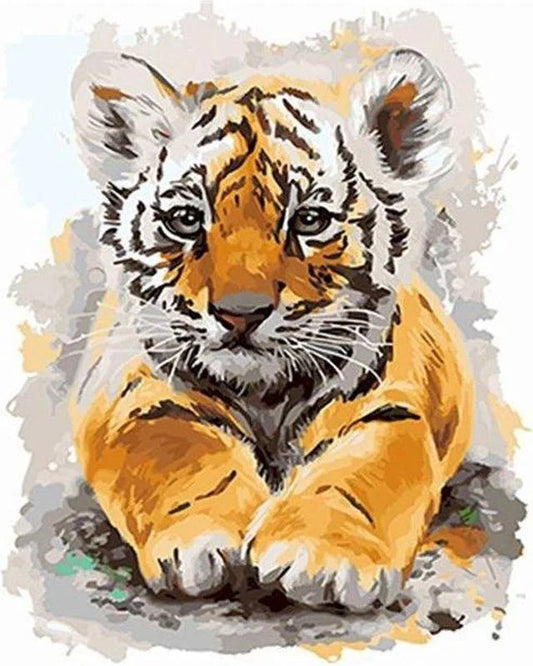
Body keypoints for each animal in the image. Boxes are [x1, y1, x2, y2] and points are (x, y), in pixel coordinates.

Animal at [69, 46, 473, 612]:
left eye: (309, 220)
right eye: (186, 219)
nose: (241, 312)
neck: (265, 395)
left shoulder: (388, 406)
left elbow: (359, 475)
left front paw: (322, 554)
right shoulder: (136, 392)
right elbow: (181, 451)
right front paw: (207, 537)